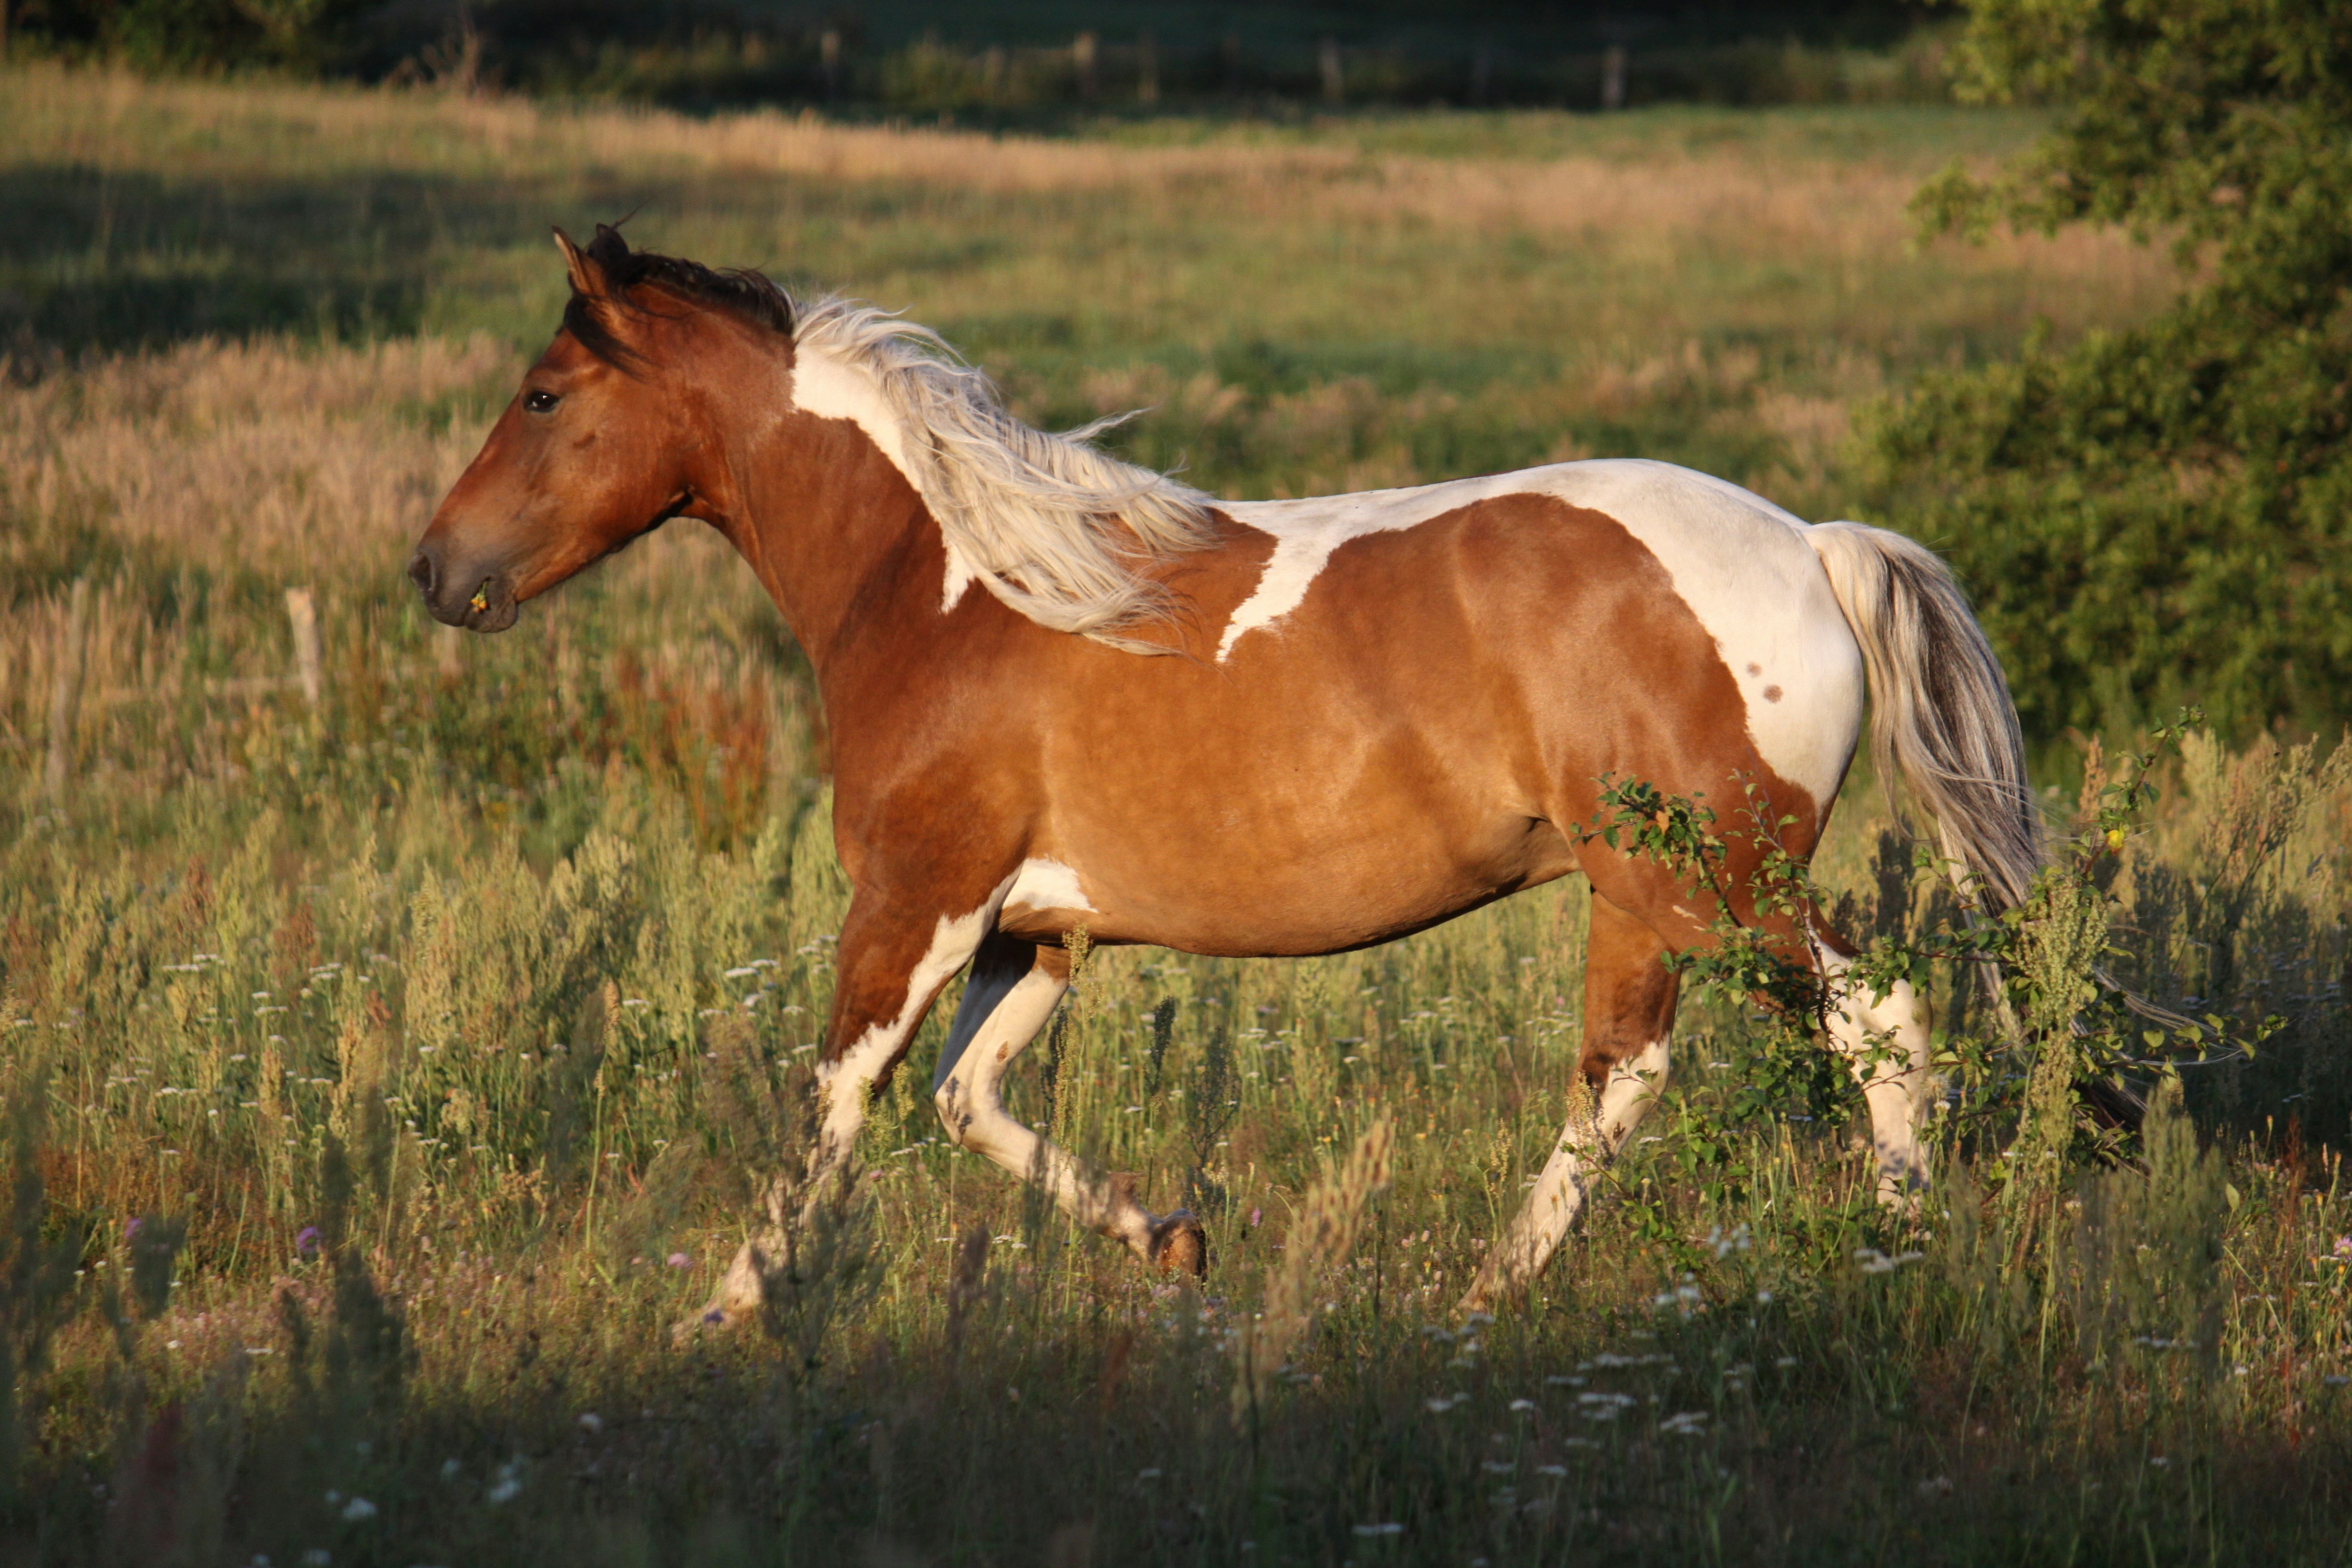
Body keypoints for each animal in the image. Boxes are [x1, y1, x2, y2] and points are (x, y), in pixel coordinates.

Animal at [408, 226, 2042, 1328]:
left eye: (544, 394)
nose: (437, 571)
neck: (945, 589)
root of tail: (1812, 546)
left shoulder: (918, 902)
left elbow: (839, 1104)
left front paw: (720, 1316)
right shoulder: (1037, 933)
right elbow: (964, 1102)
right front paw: (1176, 1242)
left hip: (1720, 882)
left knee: (1873, 1020)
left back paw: (1896, 1254)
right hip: (1640, 897)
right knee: (1617, 1082)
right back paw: (1479, 1302)